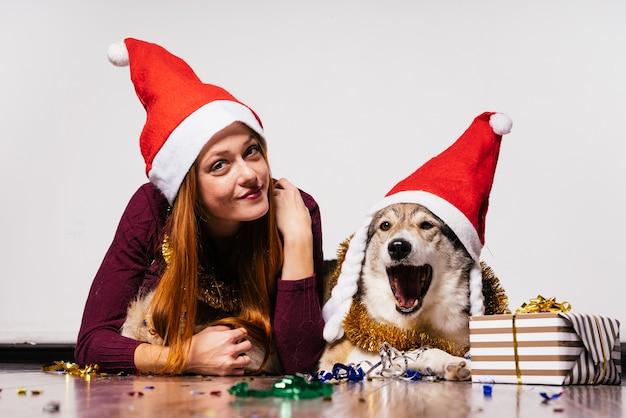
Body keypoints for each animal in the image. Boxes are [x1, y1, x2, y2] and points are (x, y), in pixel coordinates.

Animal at [320, 203, 476, 382]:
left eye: (426, 225)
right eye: (385, 225)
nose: (398, 247)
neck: (417, 322)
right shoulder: (343, 358)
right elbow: (418, 351)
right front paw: (451, 362)